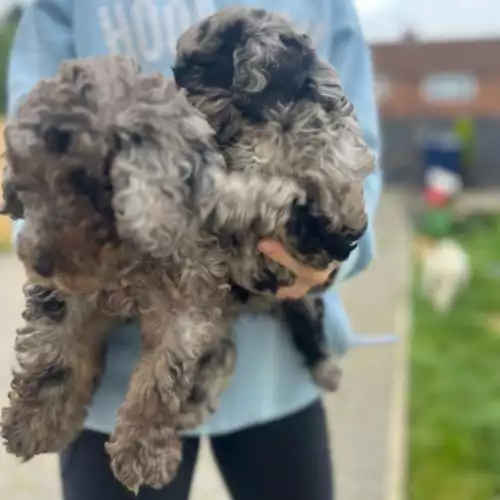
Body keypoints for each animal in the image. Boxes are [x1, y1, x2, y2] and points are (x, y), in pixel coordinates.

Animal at [0, 54, 236, 492]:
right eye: (28, 185)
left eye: (86, 183)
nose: (39, 262)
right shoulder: (65, 294)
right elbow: (52, 348)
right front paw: (35, 421)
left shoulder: (190, 301)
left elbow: (163, 377)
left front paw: (142, 449)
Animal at [174, 6, 374, 390]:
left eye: (198, 70)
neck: (270, 119)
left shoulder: (339, 148)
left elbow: (336, 175)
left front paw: (330, 225)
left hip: (303, 306)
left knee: (309, 331)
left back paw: (325, 368)